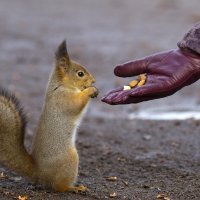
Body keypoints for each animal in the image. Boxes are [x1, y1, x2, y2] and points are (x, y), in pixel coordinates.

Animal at [0, 40, 99, 192]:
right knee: (60, 186)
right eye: (80, 74)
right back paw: (74, 188)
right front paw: (91, 90)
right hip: (70, 159)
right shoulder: (63, 98)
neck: (61, 85)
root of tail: (39, 172)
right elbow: (76, 103)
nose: (93, 81)